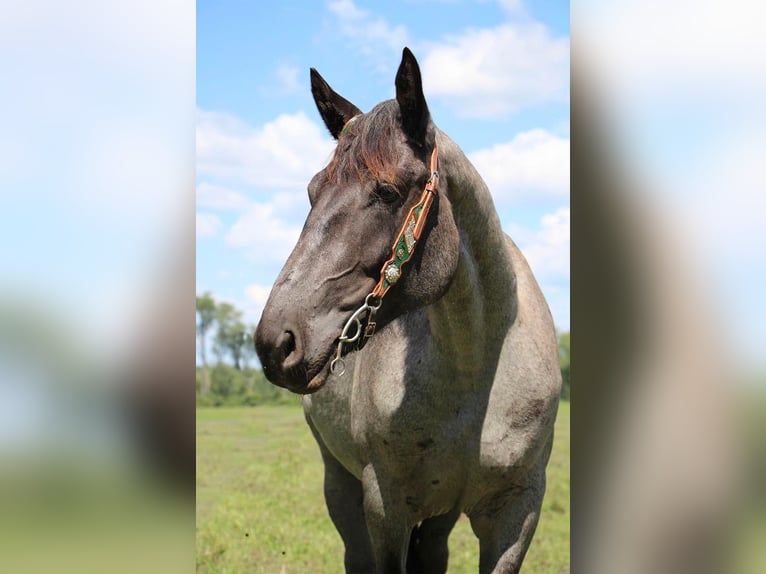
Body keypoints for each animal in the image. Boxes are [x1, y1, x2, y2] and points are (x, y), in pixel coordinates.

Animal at [258, 47, 564, 572]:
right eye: (312, 192)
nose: (276, 343)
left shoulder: (517, 513)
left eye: (387, 191)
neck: (475, 371)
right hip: (341, 484)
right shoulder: (385, 510)